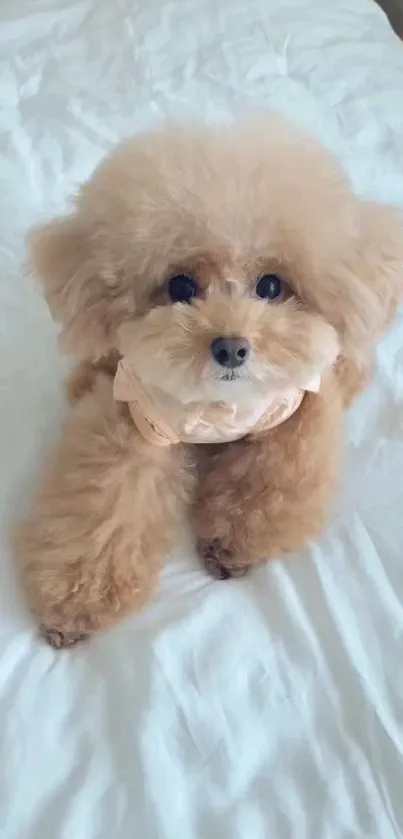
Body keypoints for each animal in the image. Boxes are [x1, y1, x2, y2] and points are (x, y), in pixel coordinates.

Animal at [18, 115, 403, 648]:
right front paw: (76, 604)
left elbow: (271, 483)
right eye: (180, 287)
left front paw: (230, 547)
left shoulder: (295, 414)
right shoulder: (135, 420)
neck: (219, 405)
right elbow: (105, 511)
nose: (231, 347)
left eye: (271, 286)